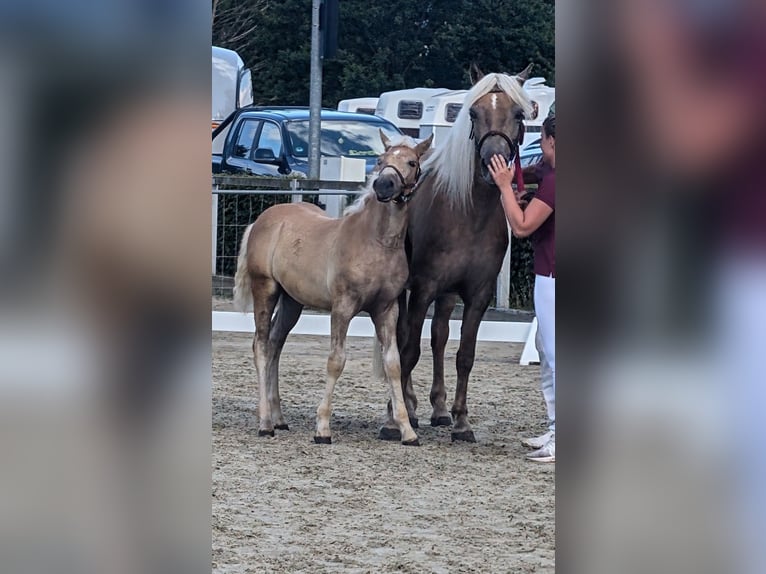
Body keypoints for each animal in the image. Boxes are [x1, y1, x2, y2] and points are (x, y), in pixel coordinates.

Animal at [234, 133, 436, 448]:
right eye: (381, 160)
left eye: (412, 162)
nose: (383, 186)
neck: (376, 242)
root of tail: (262, 219)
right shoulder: (343, 307)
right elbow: (336, 361)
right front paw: (322, 429)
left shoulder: (386, 309)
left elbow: (393, 364)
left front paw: (407, 431)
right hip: (264, 288)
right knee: (262, 346)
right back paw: (265, 423)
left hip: (291, 301)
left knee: (276, 344)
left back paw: (279, 419)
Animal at [380, 63, 536, 444]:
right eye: (473, 113)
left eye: (518, 113)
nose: (493, 161)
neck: (468, 214)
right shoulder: (422, 289)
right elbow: (408, 351)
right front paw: (395, 418)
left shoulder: (477, 295)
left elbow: (464, 354)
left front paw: (461, 421)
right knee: (404, 340)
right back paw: (409, 406)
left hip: (448, 295)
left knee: (438, 338)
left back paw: (437, 409)